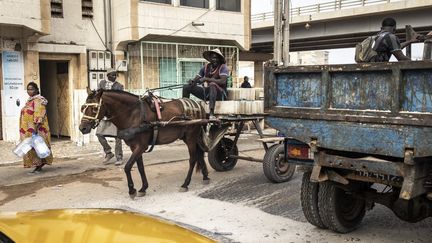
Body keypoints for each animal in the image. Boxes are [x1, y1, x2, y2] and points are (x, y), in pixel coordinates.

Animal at [80, 88, 212, 198]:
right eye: (83, 107)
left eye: (95, 108)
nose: (82, 128)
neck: (133, 113)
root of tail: (198, 105)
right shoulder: (135, 147)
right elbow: (140, 167)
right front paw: (143, 188)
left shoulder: (141, 146)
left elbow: (127, 167)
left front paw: (132, 190)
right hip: (189, 137)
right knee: (199, 154)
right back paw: (205, 176)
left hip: (190, 137)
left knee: (192, 159)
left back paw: (185, 184)